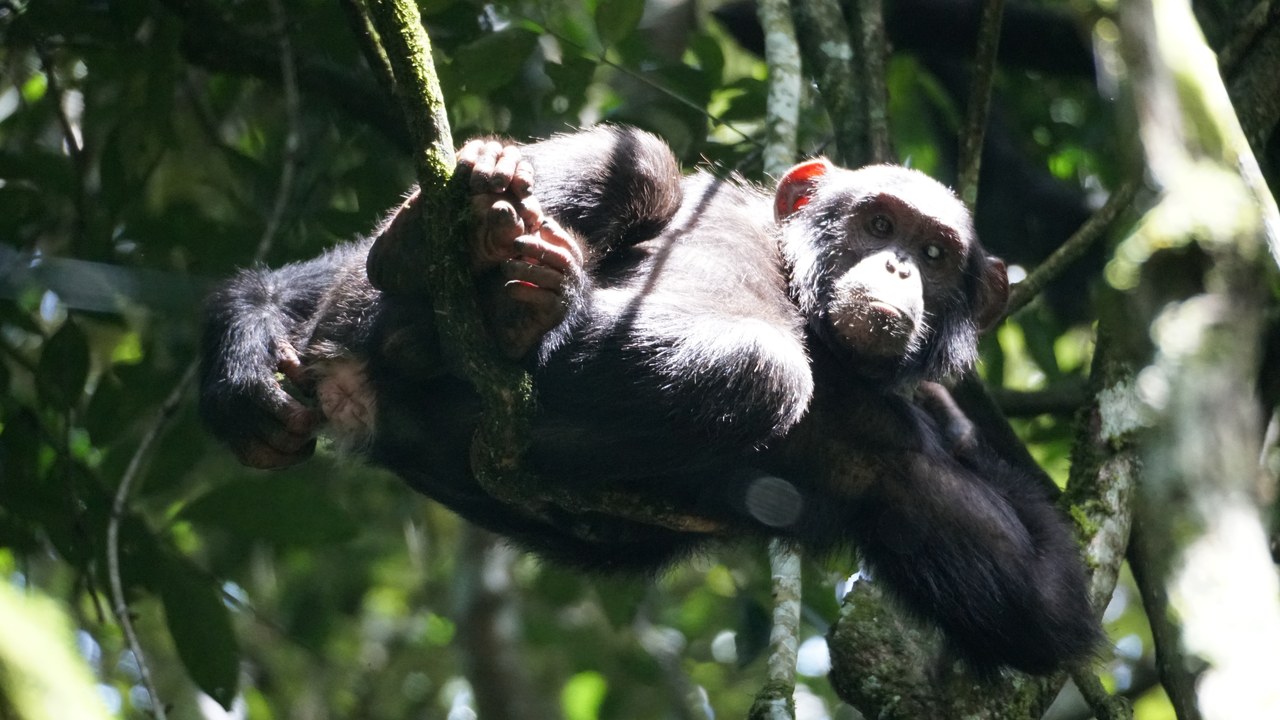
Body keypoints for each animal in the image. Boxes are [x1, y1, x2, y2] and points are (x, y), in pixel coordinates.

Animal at [199, 125, 1100, 674]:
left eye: (936, 251)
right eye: (878, 222)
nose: (899, 267)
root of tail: (353, 384)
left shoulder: (910, 470)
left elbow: (1046, 602)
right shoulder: (726, 204)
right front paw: (246, 342)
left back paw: (521, 308)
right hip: (352, 312)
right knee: (643, 168)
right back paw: (436, 259)